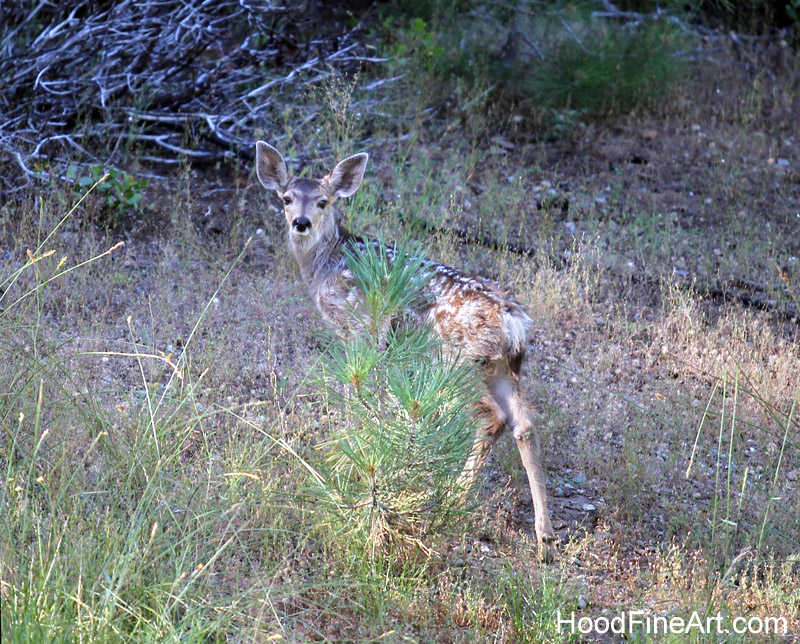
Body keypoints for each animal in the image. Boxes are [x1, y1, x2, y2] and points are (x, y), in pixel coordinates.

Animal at [255, 141, 557, 561]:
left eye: (323, 201)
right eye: (286, 198)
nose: (300, 222)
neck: (328, 264)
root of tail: (516, 323)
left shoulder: (361, 325)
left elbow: (356, 389)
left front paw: (354, 443)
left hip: (456, 362)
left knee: (491, 418)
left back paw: (452, 498)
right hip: (502, 367)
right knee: (524, 425)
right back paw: (544, 538)